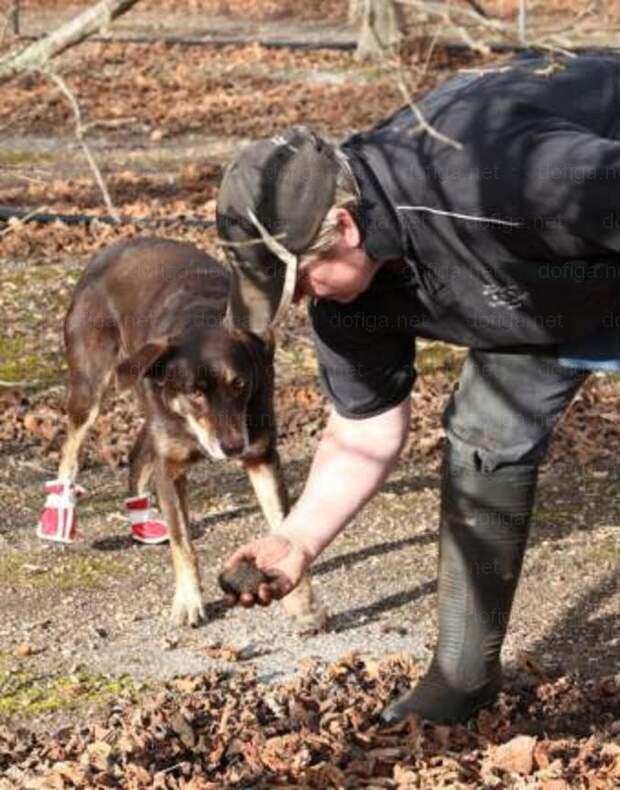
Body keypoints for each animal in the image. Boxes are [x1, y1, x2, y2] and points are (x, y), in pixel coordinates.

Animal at [38, 238, 326, 636]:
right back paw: (60, 512)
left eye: (240, 384)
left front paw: (301, 603)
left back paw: (141, 520)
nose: (233, 447)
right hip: (90, 385)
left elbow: (283, 529)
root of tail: (115, 246)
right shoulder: (171, 467)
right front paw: (189, 601)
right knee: (72, 448)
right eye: (195, 392)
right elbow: (182, 543)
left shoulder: (262, 457)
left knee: (137, 452)